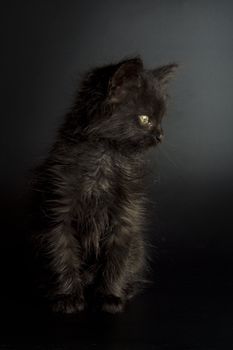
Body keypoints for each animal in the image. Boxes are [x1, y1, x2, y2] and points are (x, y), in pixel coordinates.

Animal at [30, 56, 177, 314]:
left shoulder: (125, 216)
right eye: (145, 119)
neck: (105, 158)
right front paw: (69, 297)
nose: (161, 134)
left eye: (161, 120)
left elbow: (117, 260)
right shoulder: (57, 210)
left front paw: (110, 296)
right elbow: (62, 254)